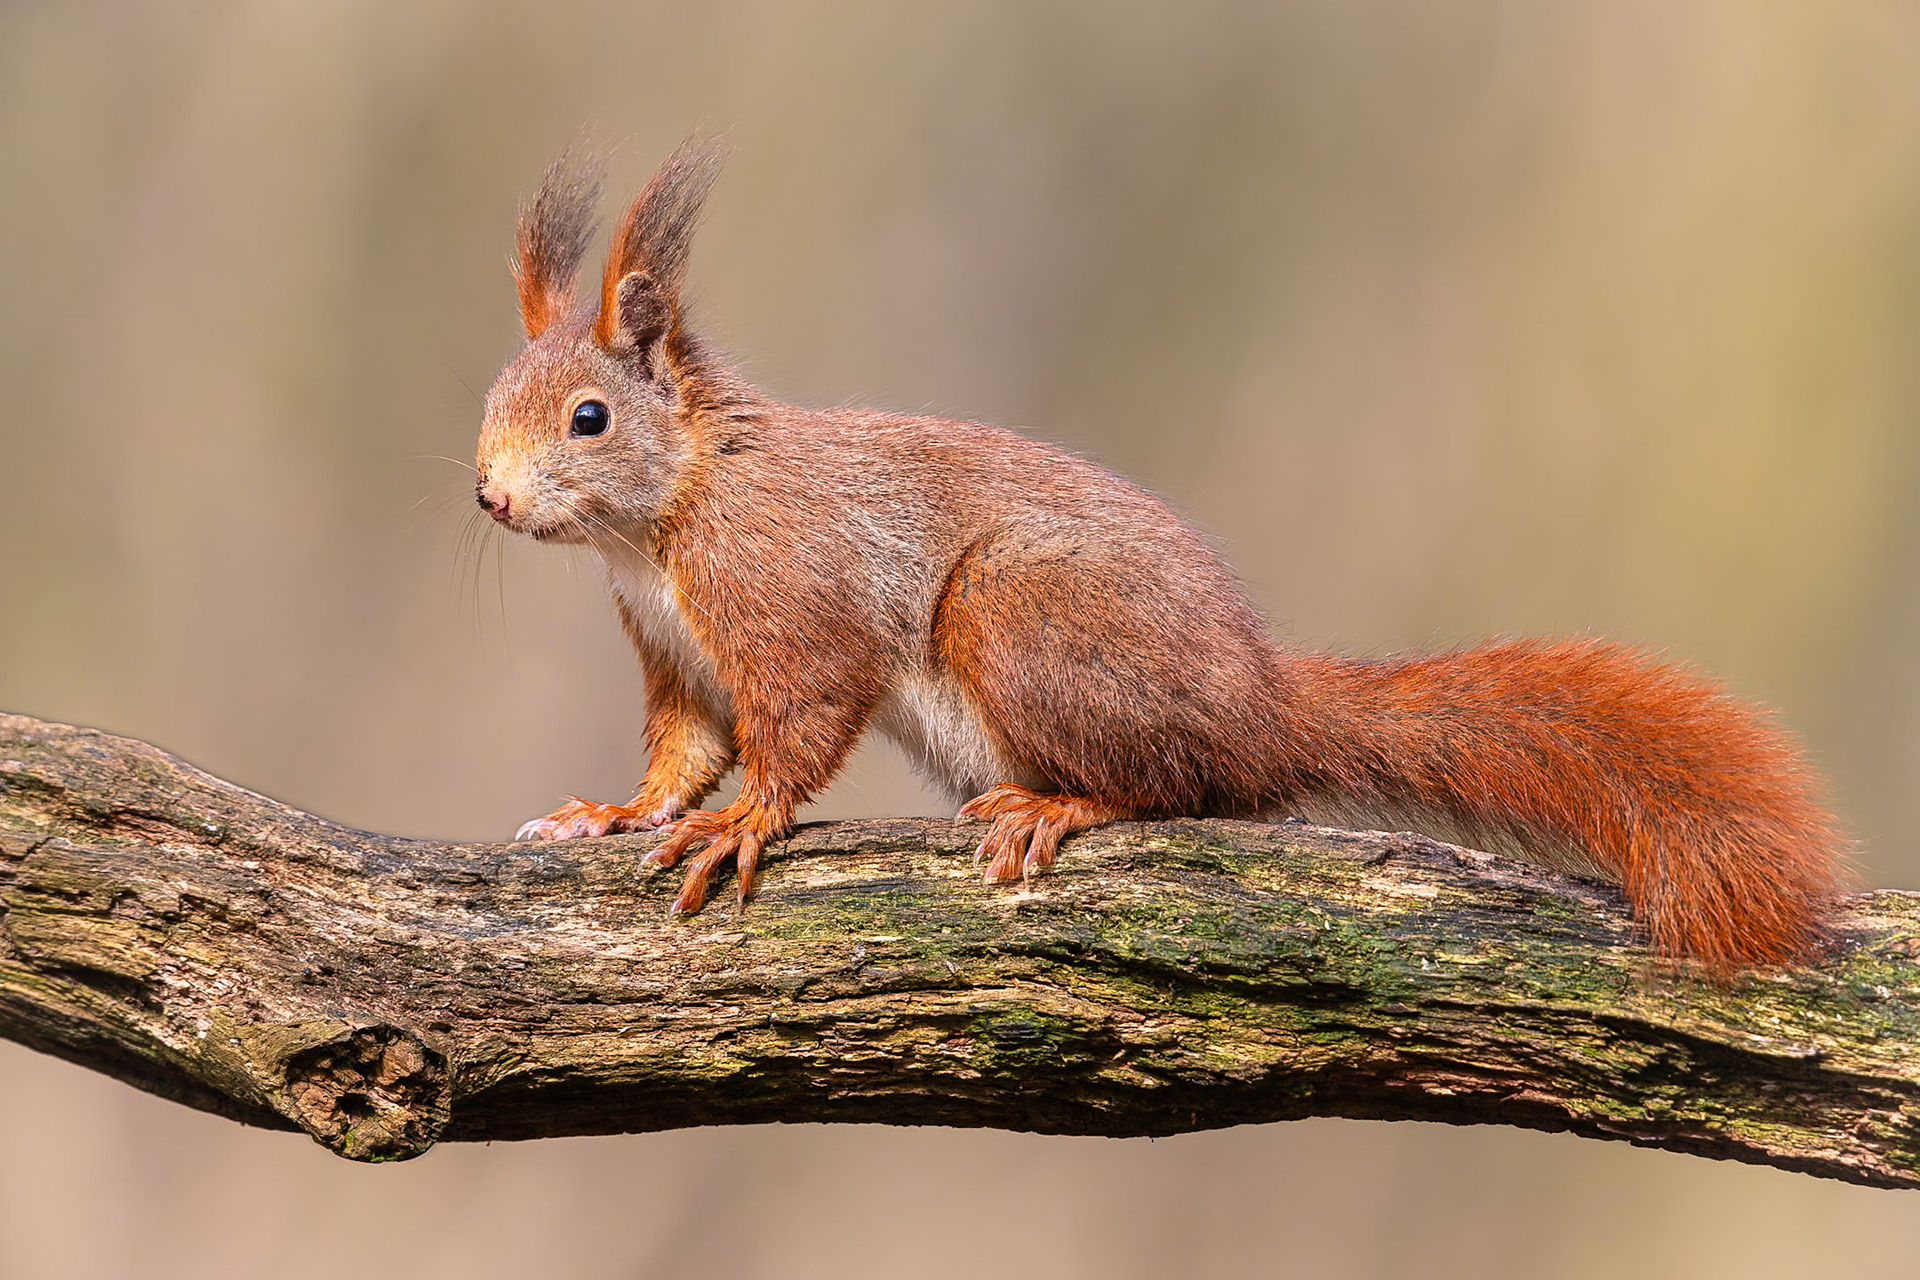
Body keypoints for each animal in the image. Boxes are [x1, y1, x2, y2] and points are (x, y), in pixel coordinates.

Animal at [474, 137, 1843, 972]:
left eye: (589, 419)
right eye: (491, 393)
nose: (488, 494)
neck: (664, 520)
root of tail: (1262, 699)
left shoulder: (787, 595)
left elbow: (798, 723)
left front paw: (744, 821)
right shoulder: (676, 653)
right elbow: (683, 752)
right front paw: (610, 810)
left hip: (1020, 613)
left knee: (1185, 783)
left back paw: (1060, 803)